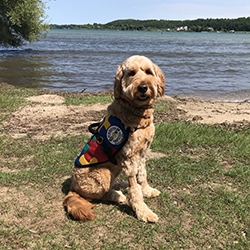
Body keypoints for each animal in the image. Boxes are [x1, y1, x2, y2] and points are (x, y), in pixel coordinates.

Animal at [64, 55, 166, 223]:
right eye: (131, 73)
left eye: (148, 72)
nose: (143, 87)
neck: (135, 112)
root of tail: (72, 188)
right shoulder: (129, 158)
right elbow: (134, 190)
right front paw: (143, 212)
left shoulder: (142, 153)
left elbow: (142, 175)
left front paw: (146, 190)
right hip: (103, 174)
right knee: (99, 195)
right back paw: (117, 195)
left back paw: (122, 186)